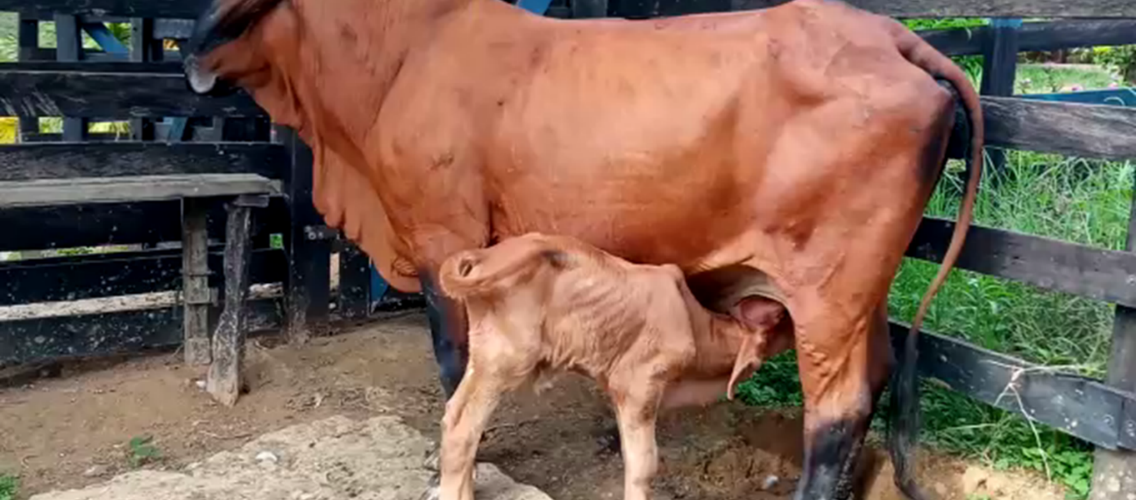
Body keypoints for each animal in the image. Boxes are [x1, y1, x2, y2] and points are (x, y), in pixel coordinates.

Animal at [436, 232, 790, 500]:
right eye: (779, 321)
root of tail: (484, 256)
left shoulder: (618, 388)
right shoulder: (640, 385)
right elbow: (644, 464)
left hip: (484, 357)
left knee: (453, 414)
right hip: (507, 360)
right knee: (463, 428)